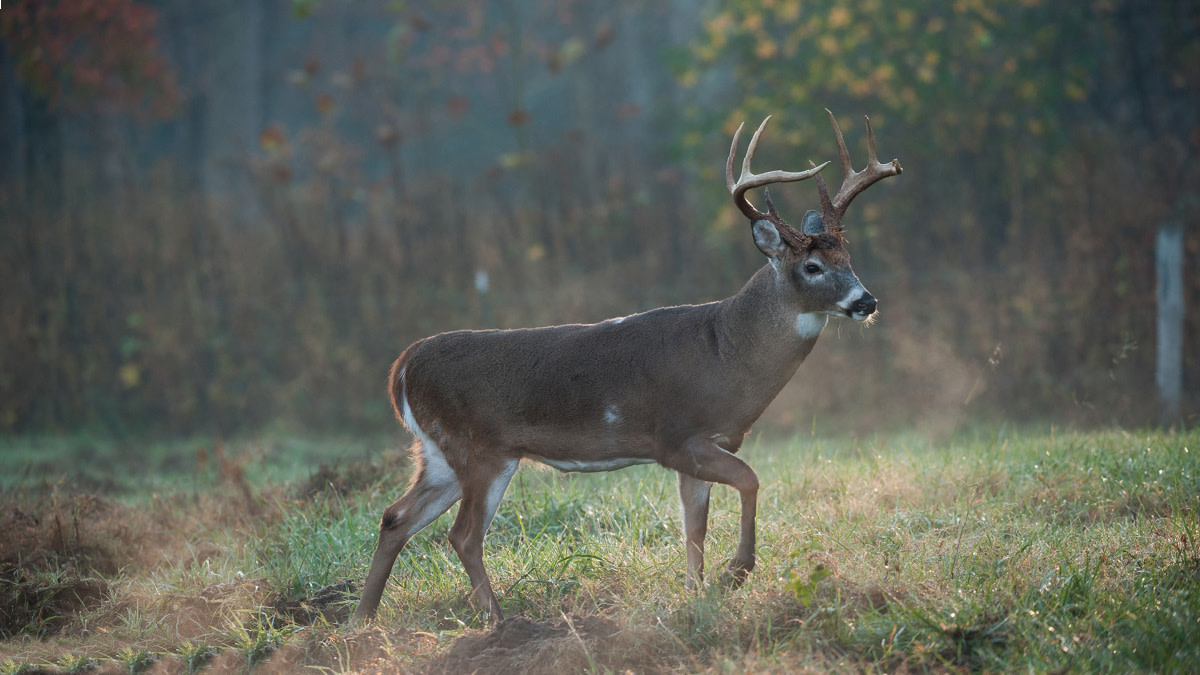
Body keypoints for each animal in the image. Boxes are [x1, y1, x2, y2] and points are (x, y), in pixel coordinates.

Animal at [355, 109, 902, 619]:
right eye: (812, 266)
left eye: (848, 258)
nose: (866, 301)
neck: (727, 353)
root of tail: (402, 369)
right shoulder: (675, 437)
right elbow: (748, 481)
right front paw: (736, 573)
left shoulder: (706, 445)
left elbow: (694, 529)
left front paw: (696, 595)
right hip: (482, 447)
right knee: (463, 535)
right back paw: (497, 620)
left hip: (439, 451)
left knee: (395, 517)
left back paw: (363, 622)